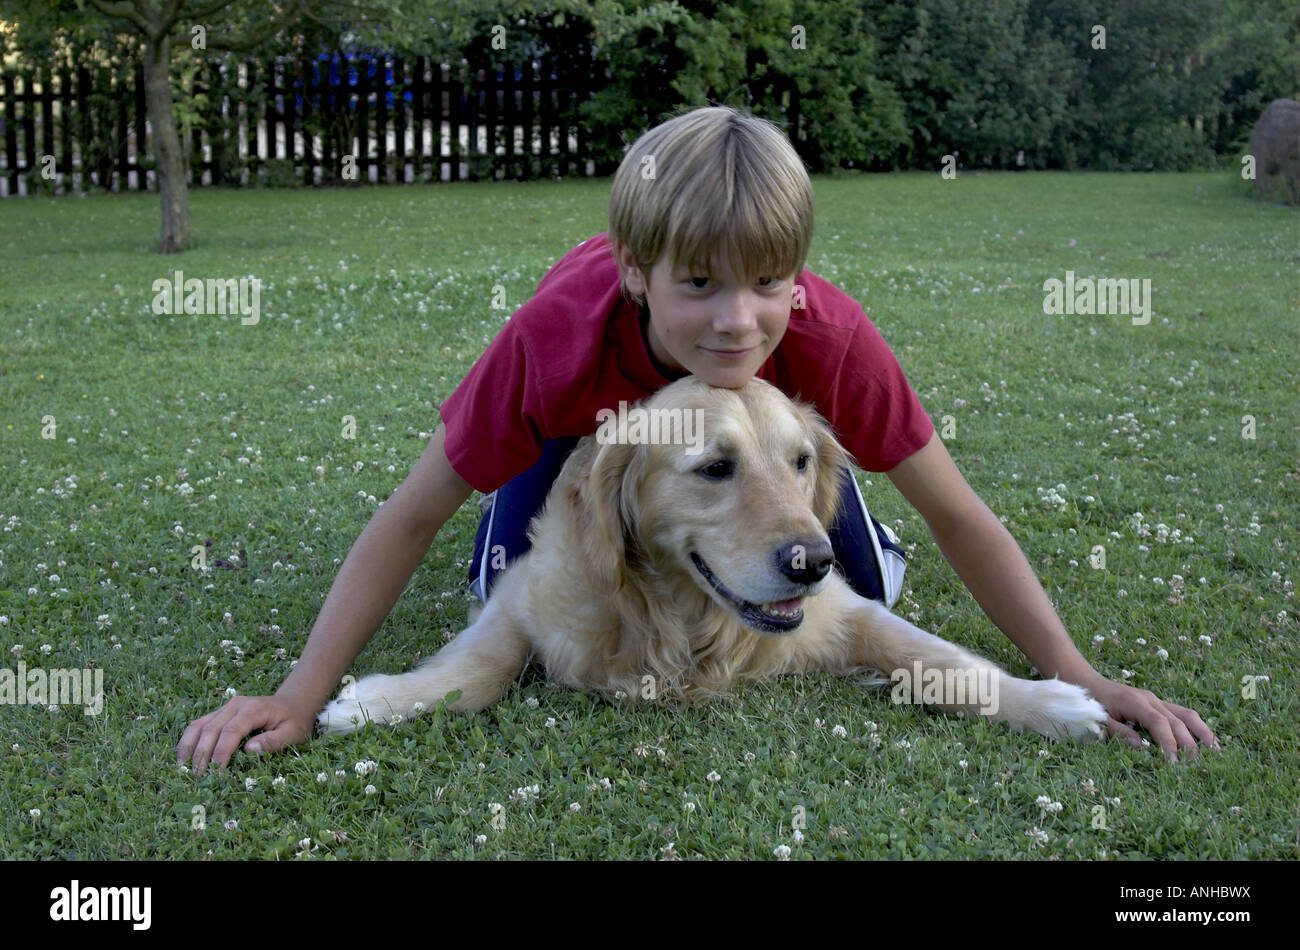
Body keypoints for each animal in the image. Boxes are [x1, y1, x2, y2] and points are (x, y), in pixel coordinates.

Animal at [317, 374, 1107, 743]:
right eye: (715, 468)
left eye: (800, 461)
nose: (812, 562)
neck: (679, 619)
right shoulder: (524, 595)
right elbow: (481, 668)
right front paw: (371, 702)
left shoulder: (845, 612)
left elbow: (942, 660)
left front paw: (1054, 702)